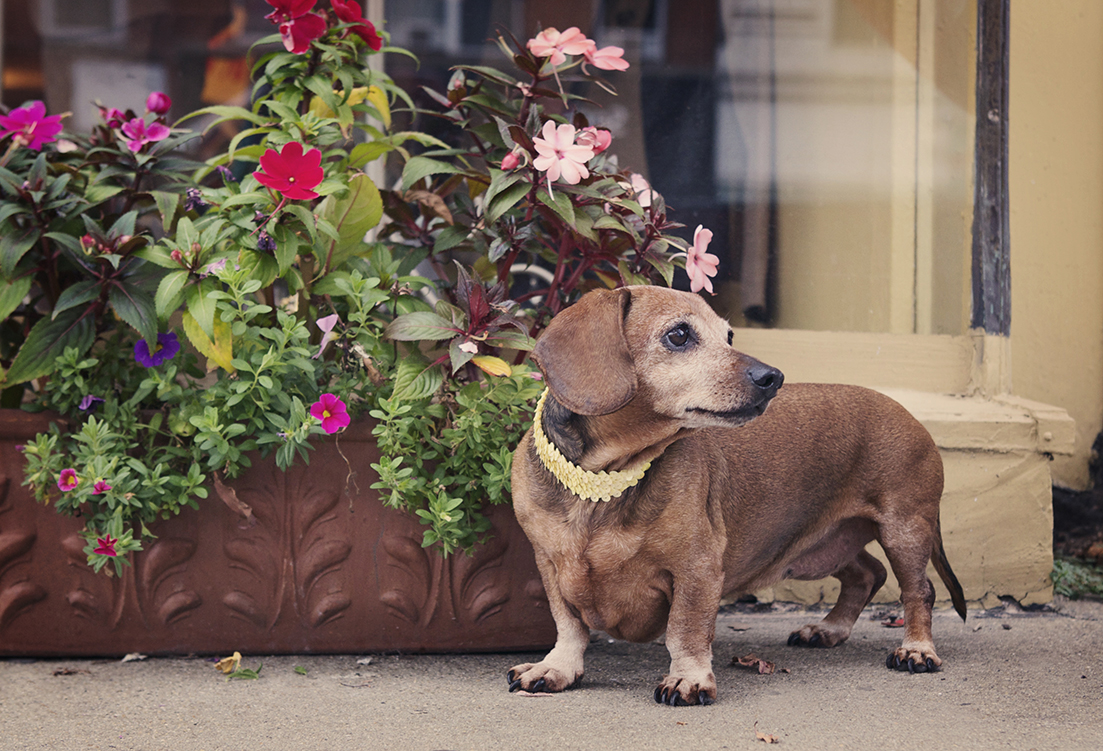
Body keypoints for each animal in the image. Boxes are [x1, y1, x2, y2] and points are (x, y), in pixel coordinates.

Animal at [506, 286, 966, 705]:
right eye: (679, 335)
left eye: (728, 336)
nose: (773, 378)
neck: (603, 484)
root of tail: (908, 414)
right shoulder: (549, 563)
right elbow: (568, 625)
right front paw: (557, 667)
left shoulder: (698, 568)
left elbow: (686, 630)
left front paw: (689, 678)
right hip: (826, 543)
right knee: (868, 574)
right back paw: (829, 628)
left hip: (904, 528)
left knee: (919, 590)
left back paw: (917, 649)